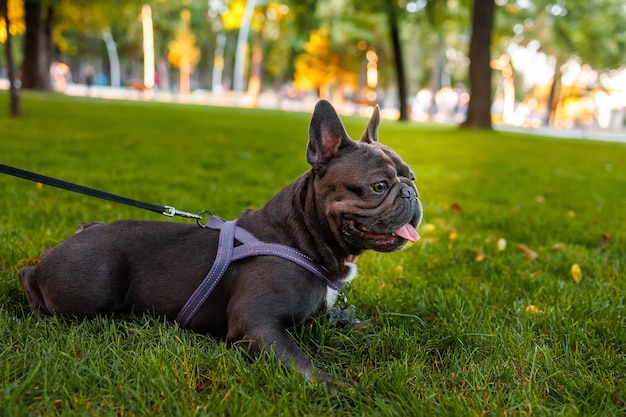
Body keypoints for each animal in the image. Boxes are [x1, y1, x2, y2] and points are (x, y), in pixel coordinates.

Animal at [19, 99, 422, 386]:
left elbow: (351, 321)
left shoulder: (317, 314)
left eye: (412, 176)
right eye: (378, 186)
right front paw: (337, 388)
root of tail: (83, 229)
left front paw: (377, 327)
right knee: (30, 278)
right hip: (90, 288)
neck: (300, 236)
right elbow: (302, 365)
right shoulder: (257, 326)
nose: (411, 192)